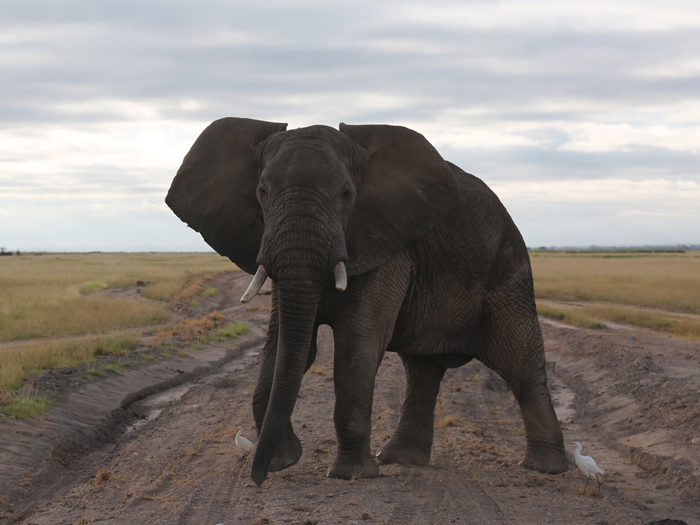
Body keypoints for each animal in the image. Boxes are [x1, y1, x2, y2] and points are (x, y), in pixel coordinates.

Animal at [167, 116, 572, 486]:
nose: (258, 478)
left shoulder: (388, 243)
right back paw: (401, 460)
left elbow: (356, 343)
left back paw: (544, 469)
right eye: (262, 191)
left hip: (507, 272)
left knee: (519, 363)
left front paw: (350, 475)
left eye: (346, 194)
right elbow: (283, 343)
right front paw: (285, 461)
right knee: (422, 370)